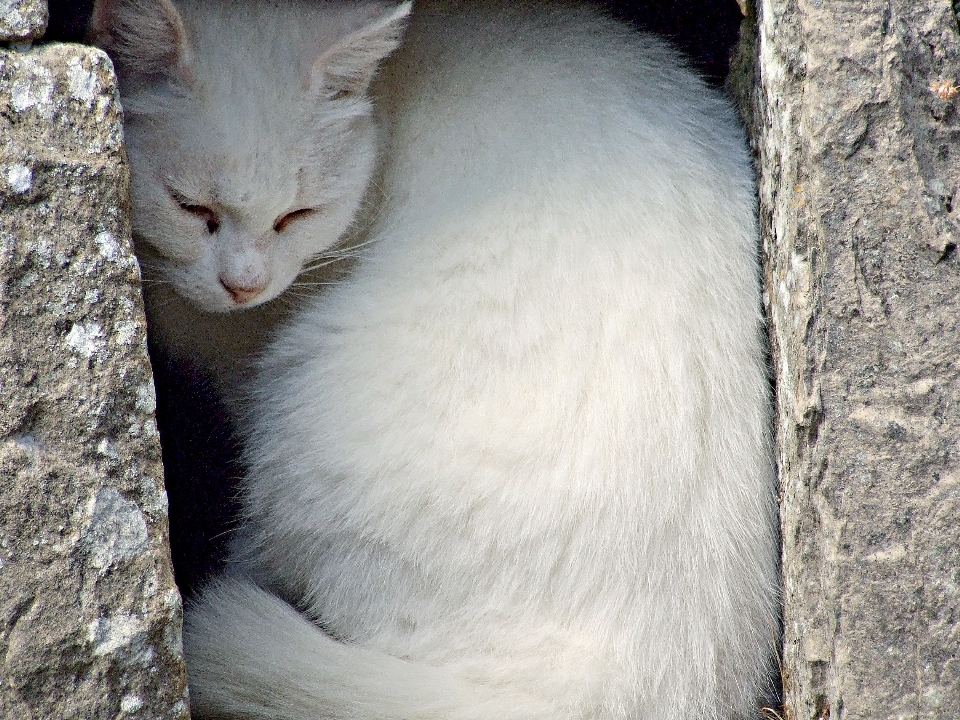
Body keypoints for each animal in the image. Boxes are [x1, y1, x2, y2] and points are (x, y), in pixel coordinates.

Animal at [92, 0, 780, 716]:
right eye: (191, 207)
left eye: (296, 215)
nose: (244, 285)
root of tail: (637, 677)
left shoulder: (241, 353)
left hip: (294, 425)